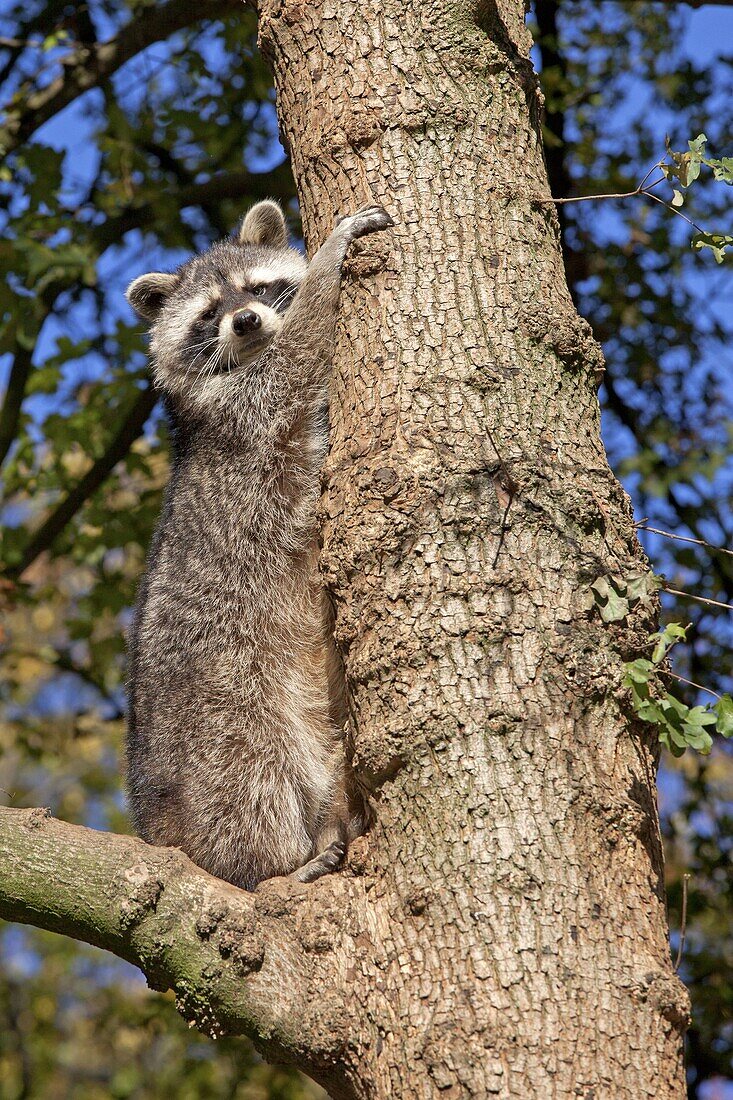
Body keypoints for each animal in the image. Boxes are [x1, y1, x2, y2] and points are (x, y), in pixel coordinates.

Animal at [122, 200, 391, 893]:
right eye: (209, 313)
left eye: (257, 289)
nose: (244, 322)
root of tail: (159, 831)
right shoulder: (244, 411)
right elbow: (296, 357)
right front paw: (328, 259)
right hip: (221, 714)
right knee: (253, 779)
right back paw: (281, 858)